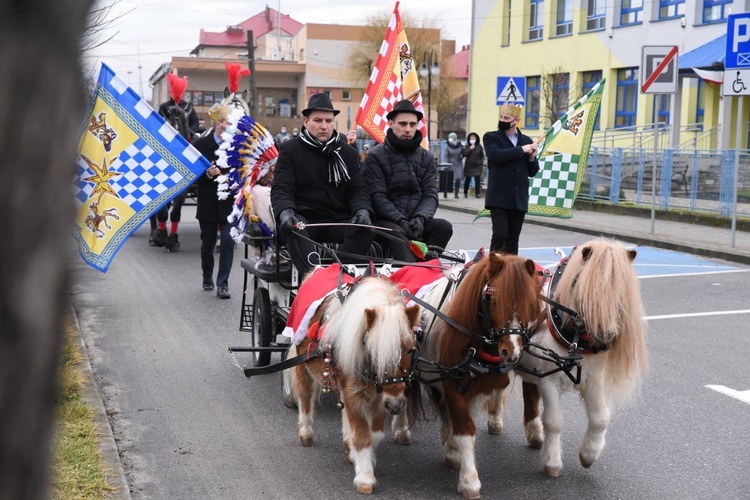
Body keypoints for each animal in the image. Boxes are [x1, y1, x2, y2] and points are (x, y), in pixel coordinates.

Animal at [290, 276, 424, 494]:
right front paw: (365, 477)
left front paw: (357, 456)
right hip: (304, 367)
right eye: (374, 351)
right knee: (305, 396)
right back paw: (305, 433)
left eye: (411, 350)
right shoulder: (355, 393)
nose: (397, 405)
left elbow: (374, 433)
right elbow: (362, 435)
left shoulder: (379, 397)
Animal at [400, 254, 548, 500]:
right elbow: (465, 429)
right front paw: (469, 480)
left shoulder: (477, 384)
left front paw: (452, 450)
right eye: (494, 300)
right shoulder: (451, 383)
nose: (511, 351)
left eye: (530, 304)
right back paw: (401, 430)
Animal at [490, 238, 648, 476]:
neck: (575, 335)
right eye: (587, 286)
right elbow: (554, 422)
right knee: (499, 386)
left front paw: (588, 455)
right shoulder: (549, 378)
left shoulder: (594, 379)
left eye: (622, 290)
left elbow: (601, 418)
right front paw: (552, 463)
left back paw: (534, 433)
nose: (606, 335)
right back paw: (496, 422)